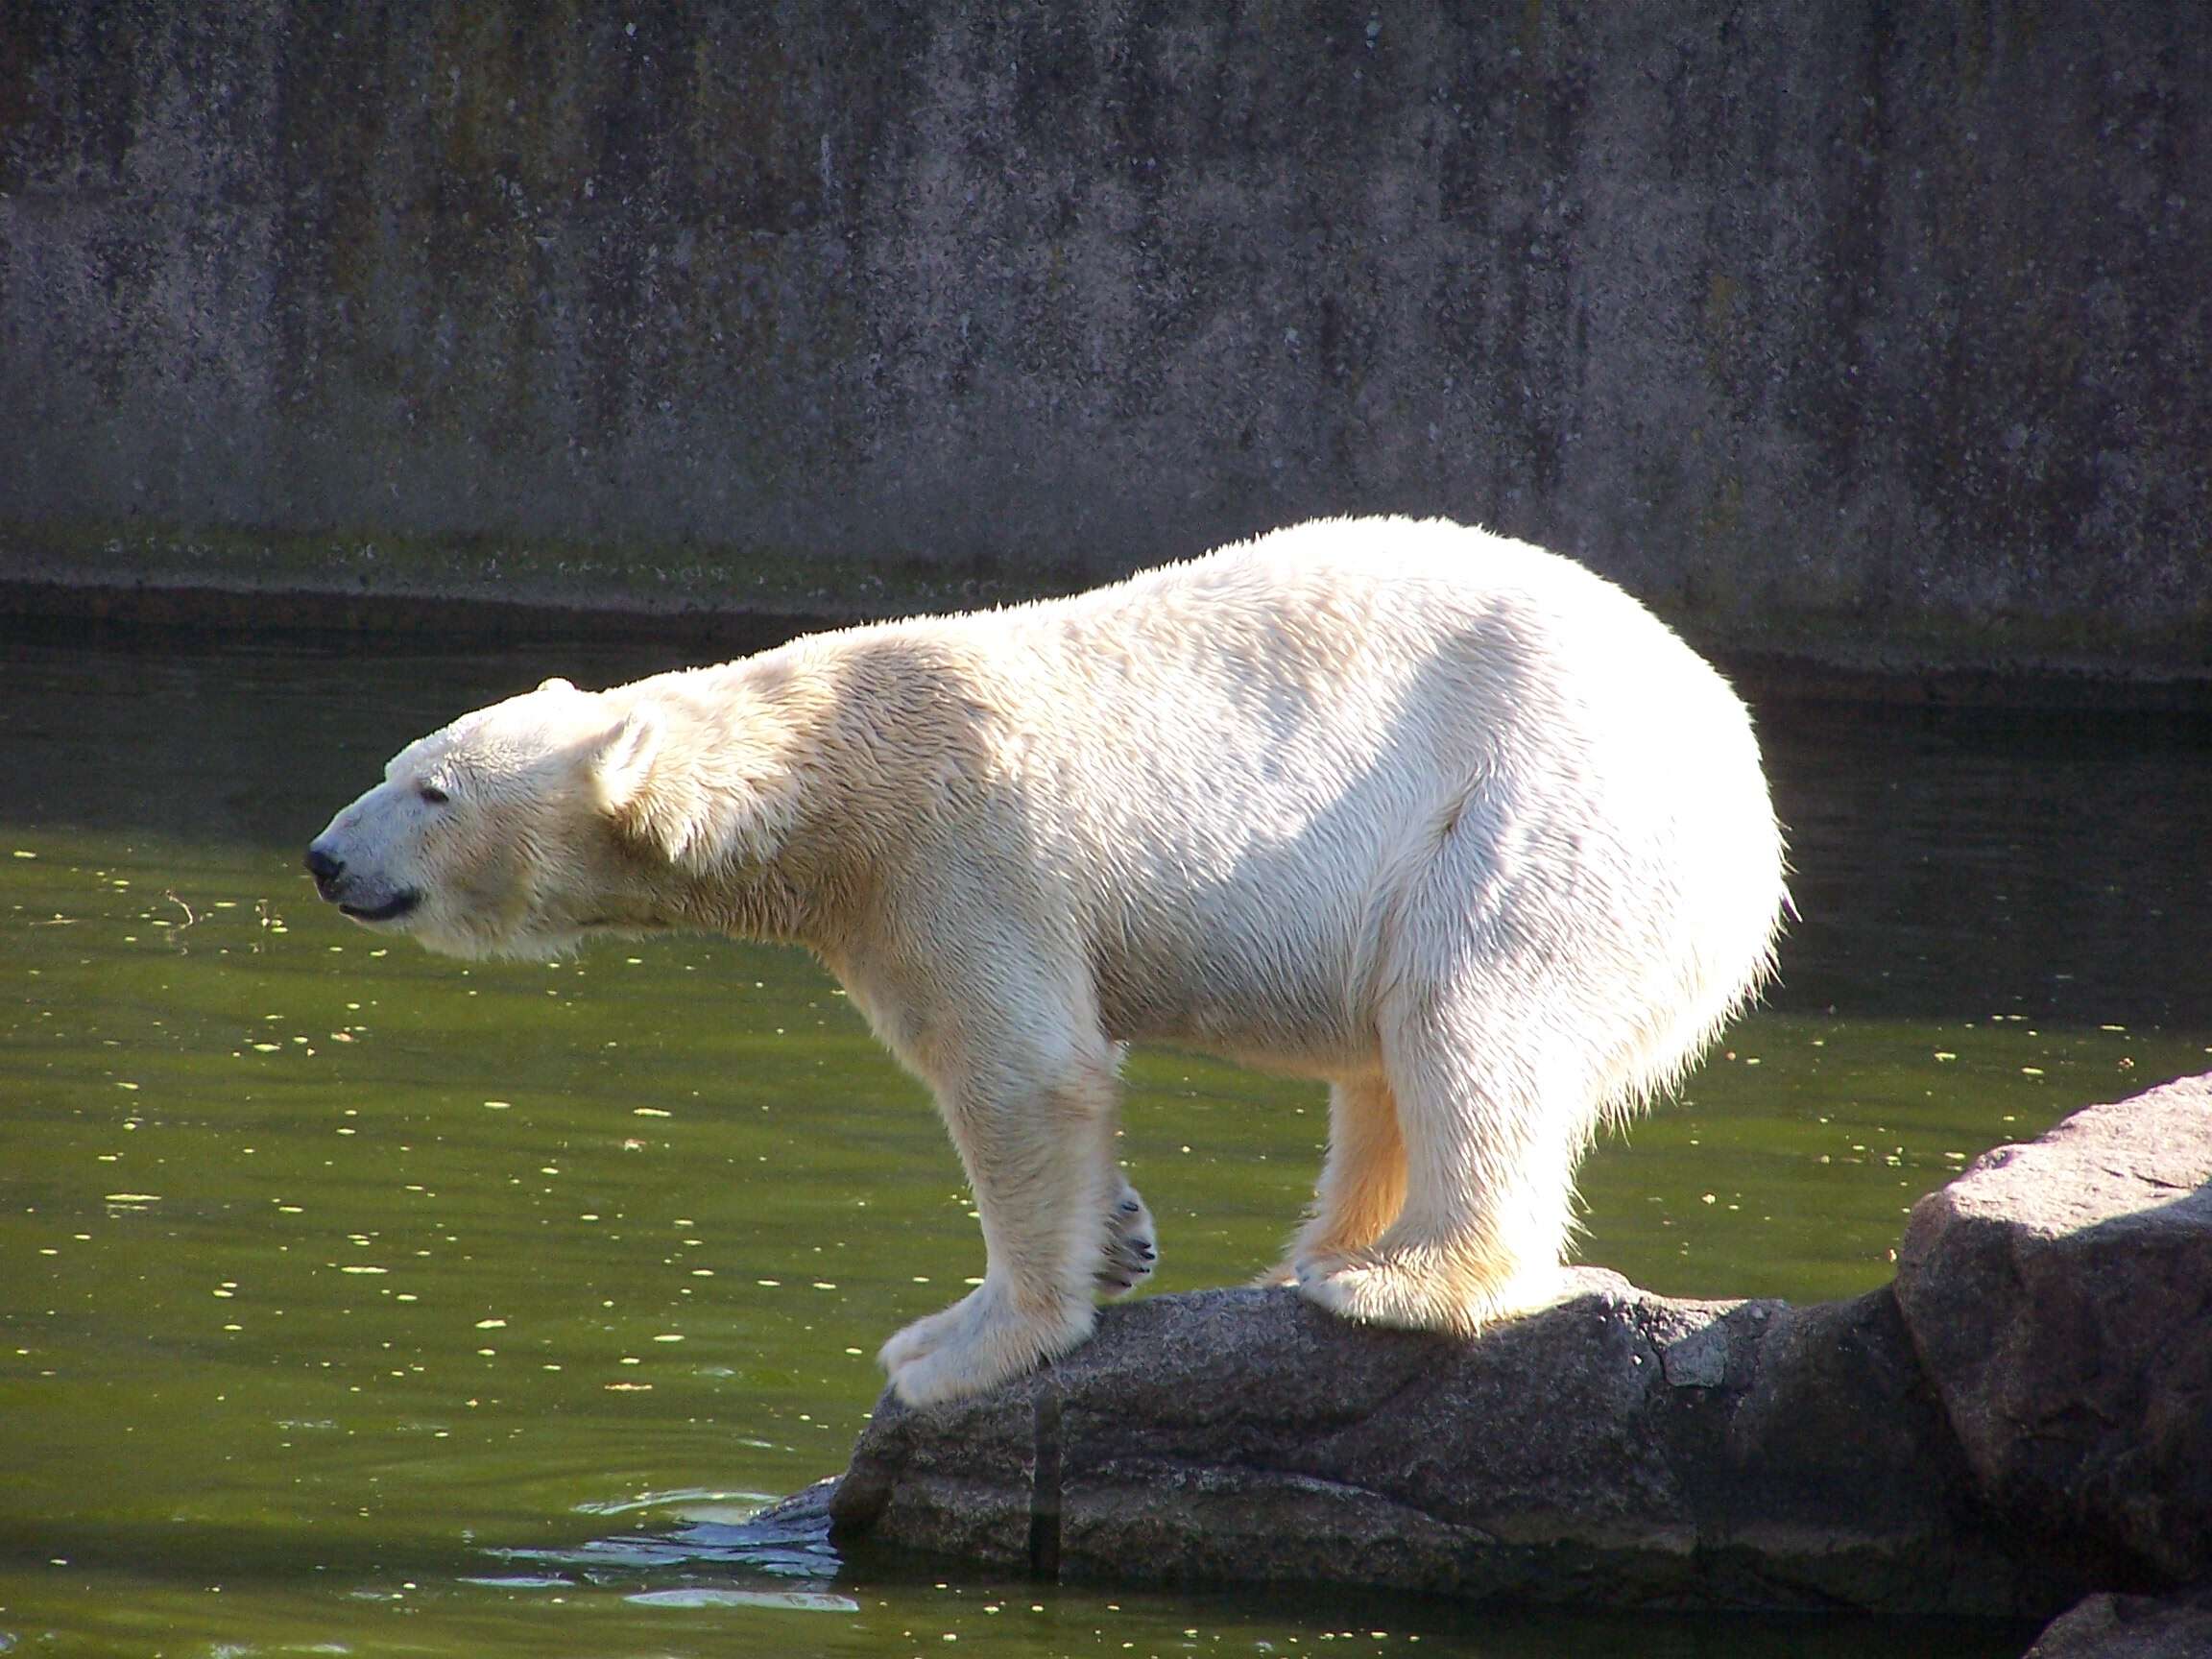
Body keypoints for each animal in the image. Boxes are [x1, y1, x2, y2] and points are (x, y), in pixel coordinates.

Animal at [307, 517, 1778, 1407]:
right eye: (397, 765)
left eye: (431, 791)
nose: (324, 856)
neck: (823, 775)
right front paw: (1120, 1235)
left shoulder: (958, 846)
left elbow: (1021, 1071)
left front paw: (958, 1344)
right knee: (1384, 1060)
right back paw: (1308, 1259)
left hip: (1536, 813)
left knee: (1468, 1015)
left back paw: (1398, 1280)